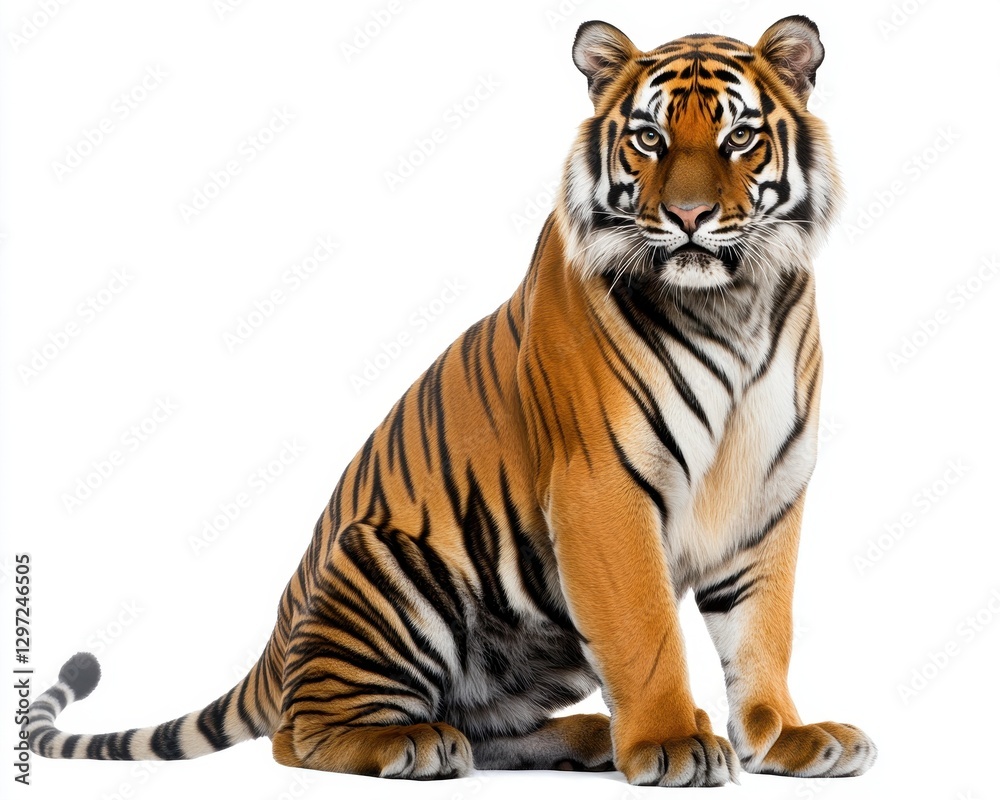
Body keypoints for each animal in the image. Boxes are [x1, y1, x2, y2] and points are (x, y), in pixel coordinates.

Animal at [25, 15, 877, 787]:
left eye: (739, 138)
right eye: (648, 139)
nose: (690, 218)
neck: (732, 304)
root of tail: (283, 626)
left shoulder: (768, 492)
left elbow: (762, 631)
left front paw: (786, 736)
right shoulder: (602, 486)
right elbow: (645, 631)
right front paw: (672, 742)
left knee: (483, 722)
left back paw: (584, 737)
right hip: (389, 566)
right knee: (301, 735)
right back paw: (415, 744)